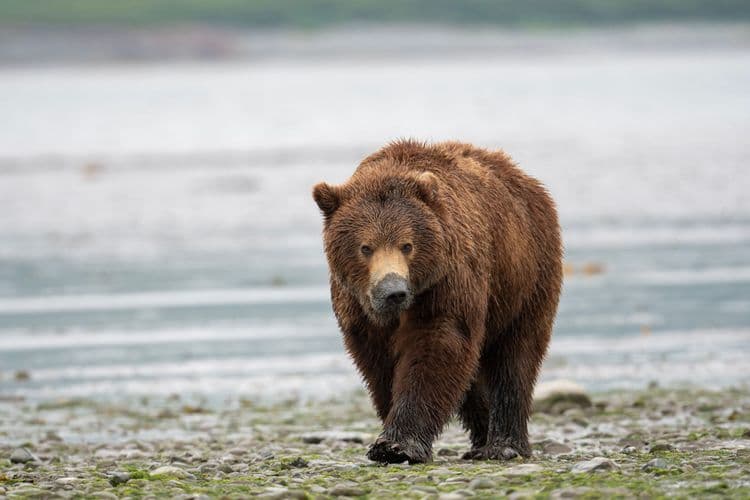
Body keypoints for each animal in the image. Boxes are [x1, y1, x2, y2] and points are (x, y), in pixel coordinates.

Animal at [312, 140, 562, 464]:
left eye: (407, 245)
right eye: (365, 247)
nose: (393, 291)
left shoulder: (446, 282)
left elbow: (437, 345)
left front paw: (398, 444)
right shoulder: (359, 309)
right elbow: (379, 364)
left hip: (524, 278)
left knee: (515, 357)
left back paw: (504, 445)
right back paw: (481, 438)